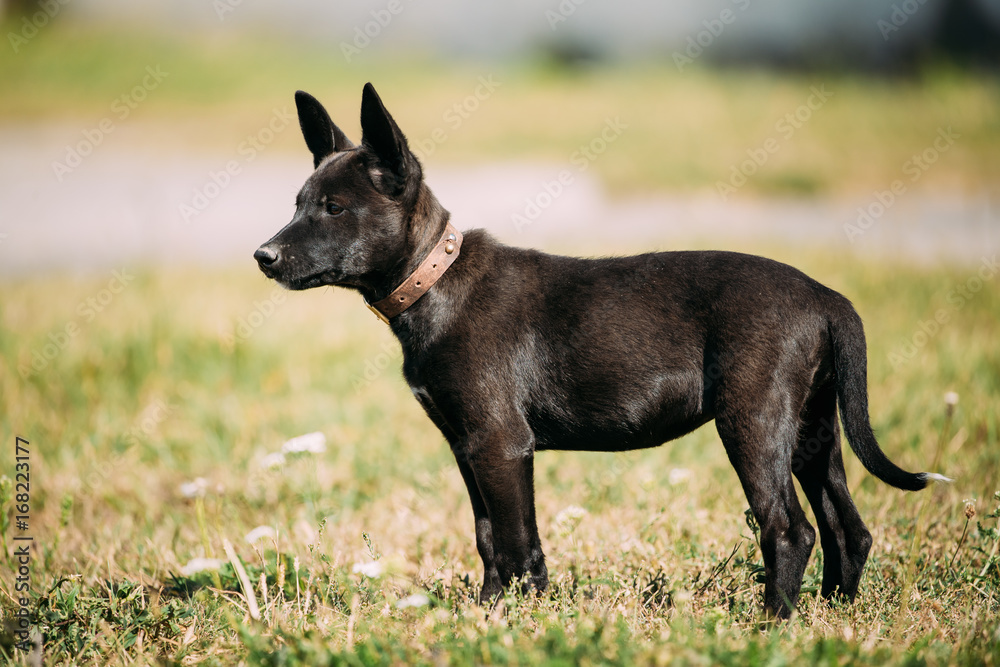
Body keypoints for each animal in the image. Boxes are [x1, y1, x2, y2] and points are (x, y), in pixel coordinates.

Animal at [254, 83, 948, 620]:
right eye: (298, 203)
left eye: (335, 207)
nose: (263, 256)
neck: (436, 279)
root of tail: (826, 297)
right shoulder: (467, 445)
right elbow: (488, 537)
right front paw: (489, 614)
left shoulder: (501, 443)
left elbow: (515, 540)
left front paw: (516, 618)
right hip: (811, 428)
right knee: (847, 529)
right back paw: (831, 615)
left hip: (753, 421)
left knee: (790, 529)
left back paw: (773, 624)